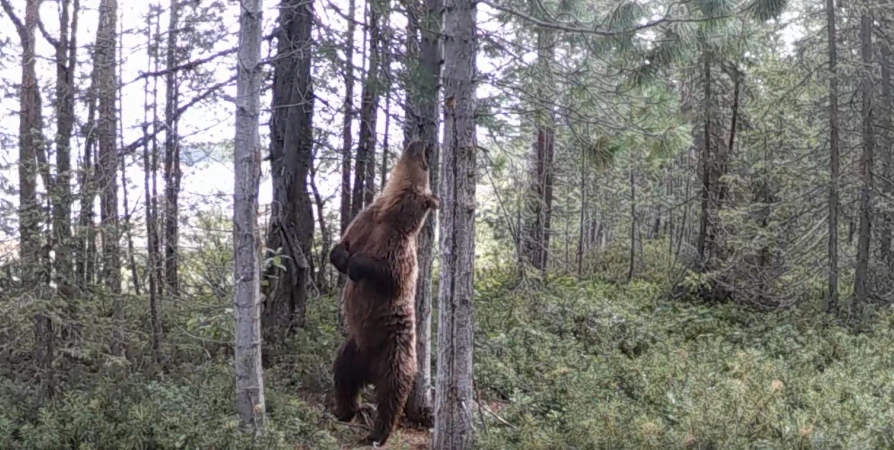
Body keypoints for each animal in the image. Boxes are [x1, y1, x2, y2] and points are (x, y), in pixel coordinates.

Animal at [328, 141, 440, 446]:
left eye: (425, 163)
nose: (423, 143)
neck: (388, 211)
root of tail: (370, 371)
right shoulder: (363, 222)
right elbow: (338, 247)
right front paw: (343, 259)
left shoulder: (398, 247)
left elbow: (389, 274)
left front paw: (356, 265)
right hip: (354, 346)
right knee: (343, 374)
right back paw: (343, 411)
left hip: (394, 351)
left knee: (392, 393)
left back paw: (376, 434)